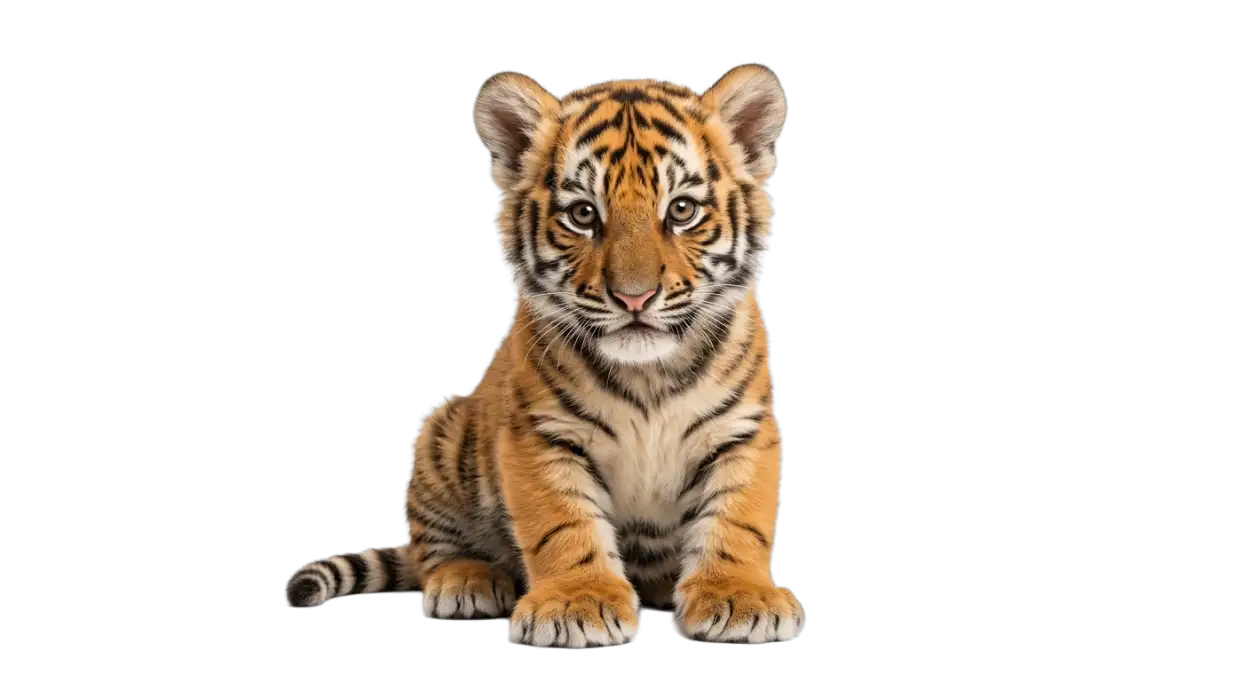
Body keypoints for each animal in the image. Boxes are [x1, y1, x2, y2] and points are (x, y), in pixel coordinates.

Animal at [283, 64, 803, 647]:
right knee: (433, 549)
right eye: (583, 214)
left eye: (682, 210)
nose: (634, 298)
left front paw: (740, 597)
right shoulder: (539, 433)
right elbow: (561, 524)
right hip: (441, 433)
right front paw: (579, 603)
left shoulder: (744, 429)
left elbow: (739, 520)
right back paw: (467, 582)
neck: (648, 373)